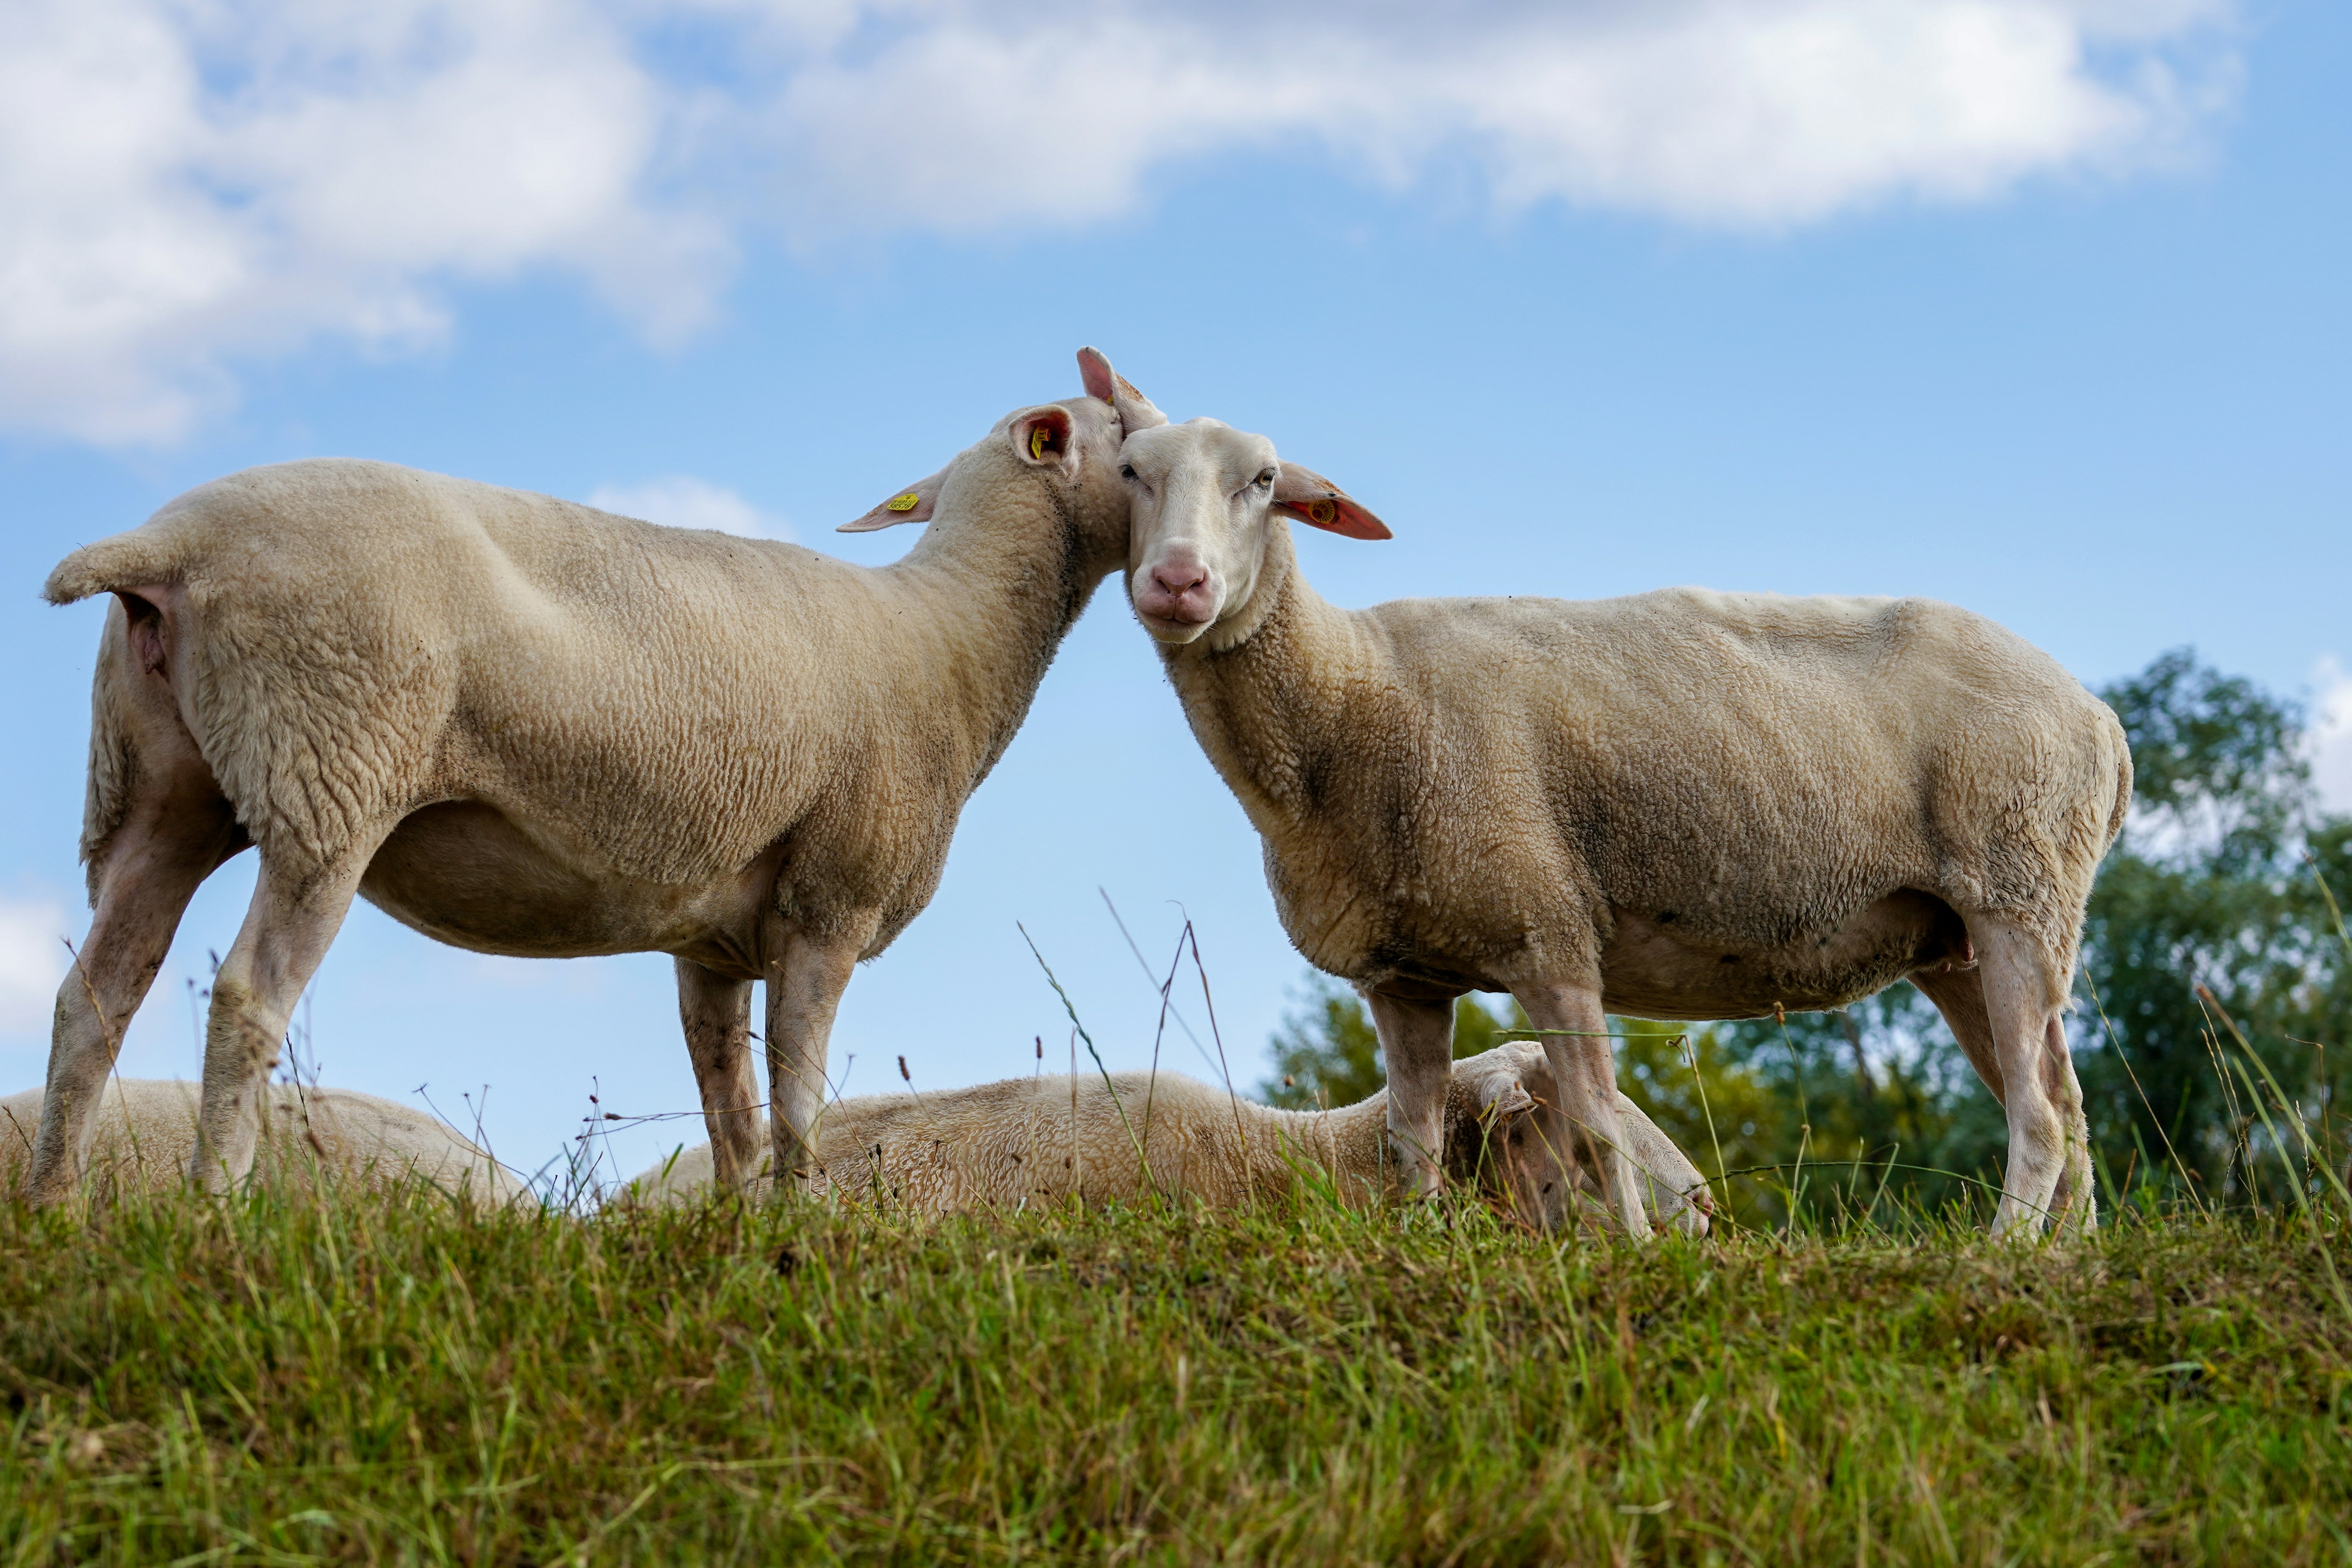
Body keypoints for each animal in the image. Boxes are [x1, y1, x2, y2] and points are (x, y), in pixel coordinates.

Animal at [31, 351, 1155, 1208]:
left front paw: (740, 1241)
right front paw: (802, 1238)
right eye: (1134, 449)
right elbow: (799, 1108)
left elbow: (733, 1115)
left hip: (157, 791)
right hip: (334, 764)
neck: (954, 634)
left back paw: (55, 1212)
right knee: (247, 996)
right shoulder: (831, 900)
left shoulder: (714, 939)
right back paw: (211, 1212)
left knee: (93, 1000)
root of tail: (174, 539)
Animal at [1093, 354, 2131, 1240]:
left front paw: (1635, 1249)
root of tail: (2099, 720)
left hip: (2017, 883)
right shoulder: (1405, 977)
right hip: (1957, 936)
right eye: (1131, 473)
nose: (1178, 581)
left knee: (2040, 1113)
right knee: (2066, 1103)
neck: (1354, 692)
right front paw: (1422, 1245)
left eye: (1265, 481)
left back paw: (2003, 1254)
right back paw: (2072, 1258)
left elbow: (1593, 1125)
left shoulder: (1548, 929)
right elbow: (1410, 1145)